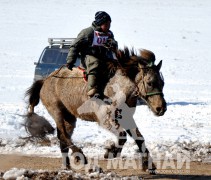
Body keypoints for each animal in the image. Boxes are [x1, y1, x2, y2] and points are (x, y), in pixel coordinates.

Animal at [24, 47, 166, 173]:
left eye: (162, 83)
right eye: (150, 83)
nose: (161, 108)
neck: (116, 89)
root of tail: (45, 80)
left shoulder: (126, 118)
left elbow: (139, 138)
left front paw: (149, 166)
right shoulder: (105, 120)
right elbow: (122, 136)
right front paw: (110, 152)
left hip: (69, 117)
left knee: (63, 137)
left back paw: (67, 165)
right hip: (56, 111)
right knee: (64, 135)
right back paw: (81, 156)